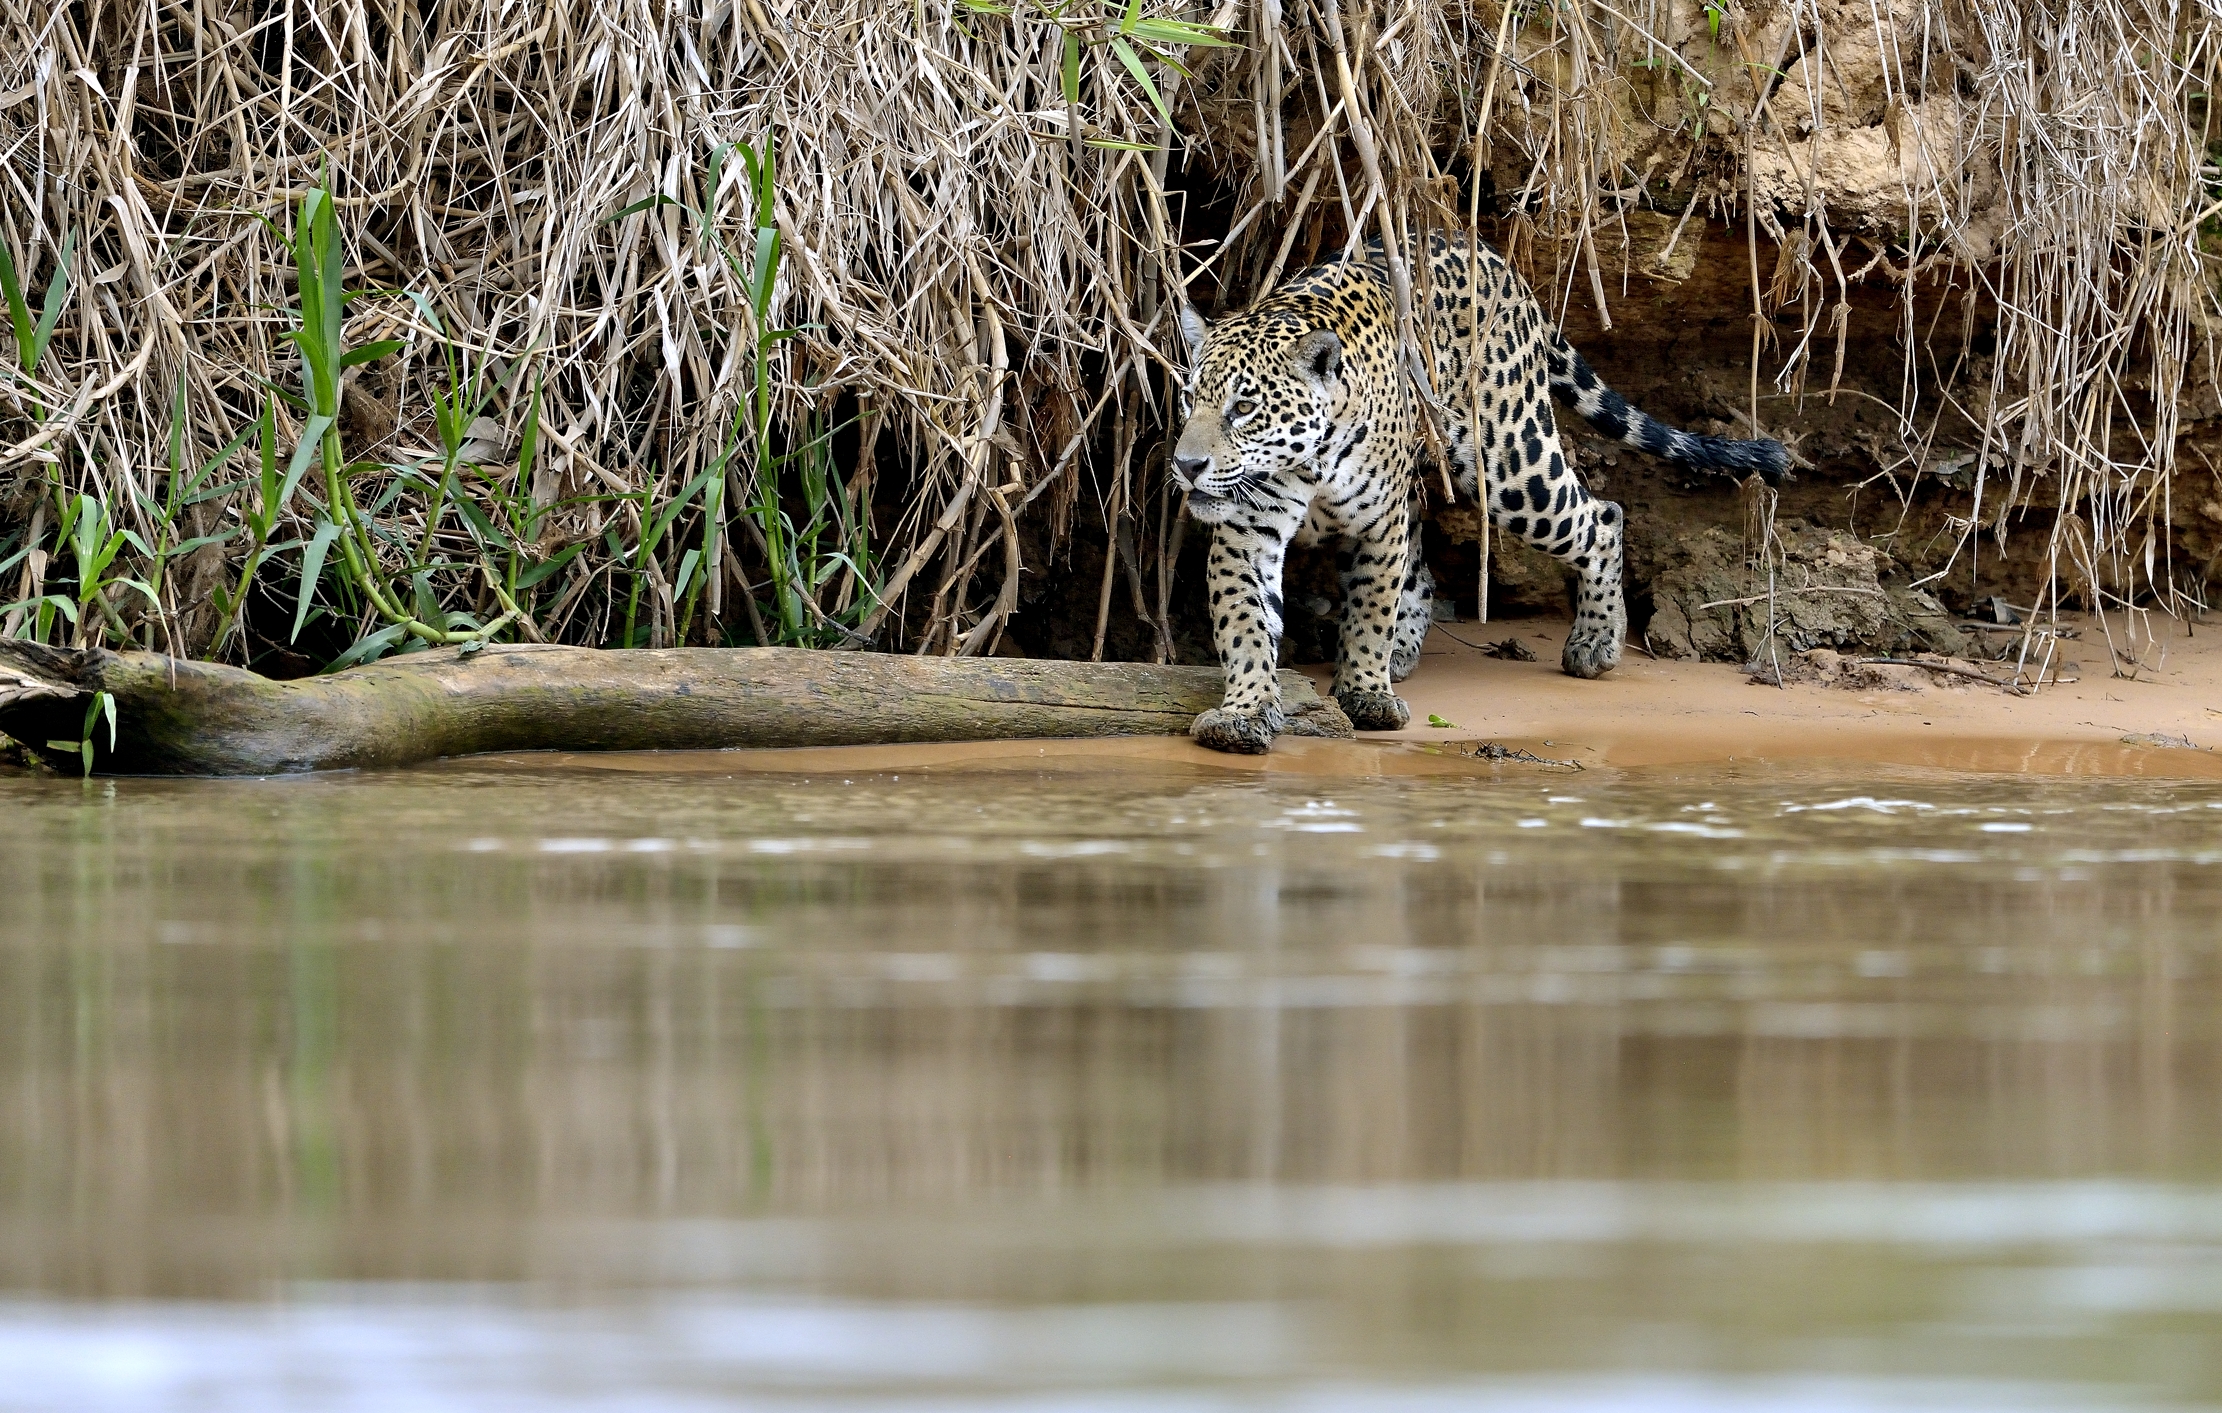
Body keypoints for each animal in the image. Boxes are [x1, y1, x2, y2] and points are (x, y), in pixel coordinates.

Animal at [1171, 230, 1789, 754]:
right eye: (1190, 397)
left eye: (1243, 408)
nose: (1186, 464)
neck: (1312, 461)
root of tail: (1496, 259)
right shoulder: (1247, 534)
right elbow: (1246, 625)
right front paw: (1245, 712)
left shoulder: (1378, 528)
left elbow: (1370, 611)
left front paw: (1367, 694)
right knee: (1423, 571)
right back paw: (1405, 650)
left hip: (1512, 465)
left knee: (1602, 516)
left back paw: (1596, 641)